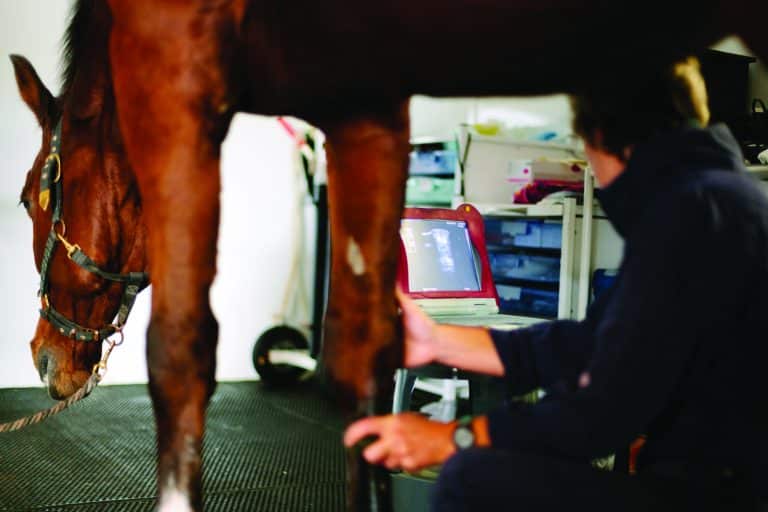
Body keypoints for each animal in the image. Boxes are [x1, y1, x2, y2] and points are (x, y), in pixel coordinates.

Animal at [12, 1, 768, 512]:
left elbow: (179, 355)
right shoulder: (366, 106)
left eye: (25, 199)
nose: (42, 357)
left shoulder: (173, 68)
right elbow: (369, 358)